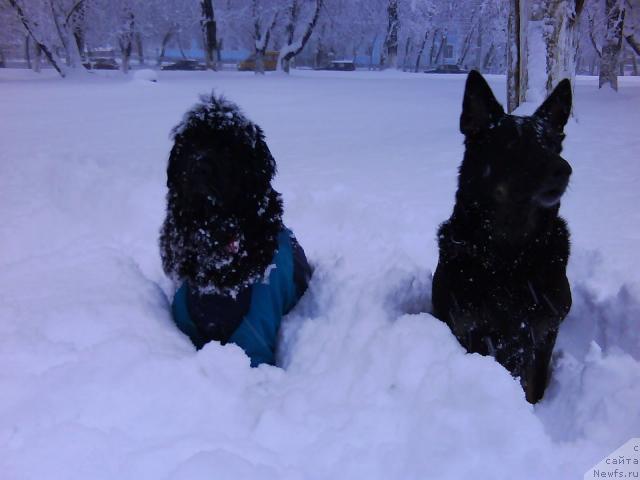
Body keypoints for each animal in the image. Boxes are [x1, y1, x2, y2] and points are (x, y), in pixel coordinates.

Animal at [432, 70, 572, 402]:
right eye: (513, 143)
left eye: (553, 144)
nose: (564, 169)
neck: (510, 254)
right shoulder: (469, 329)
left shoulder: (543, 333)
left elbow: (534, 388)